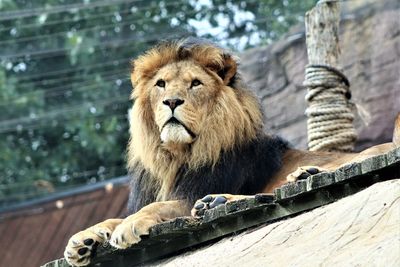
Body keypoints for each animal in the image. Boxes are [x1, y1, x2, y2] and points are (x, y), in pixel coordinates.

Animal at [64, 38, 398, 266]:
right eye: (160, 84)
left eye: (195, 84)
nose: (171, 101)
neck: (176, 156)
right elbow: (111, 218)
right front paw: (80, 241)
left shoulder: (188, 195)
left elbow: (159, 207)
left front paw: (129, 226)